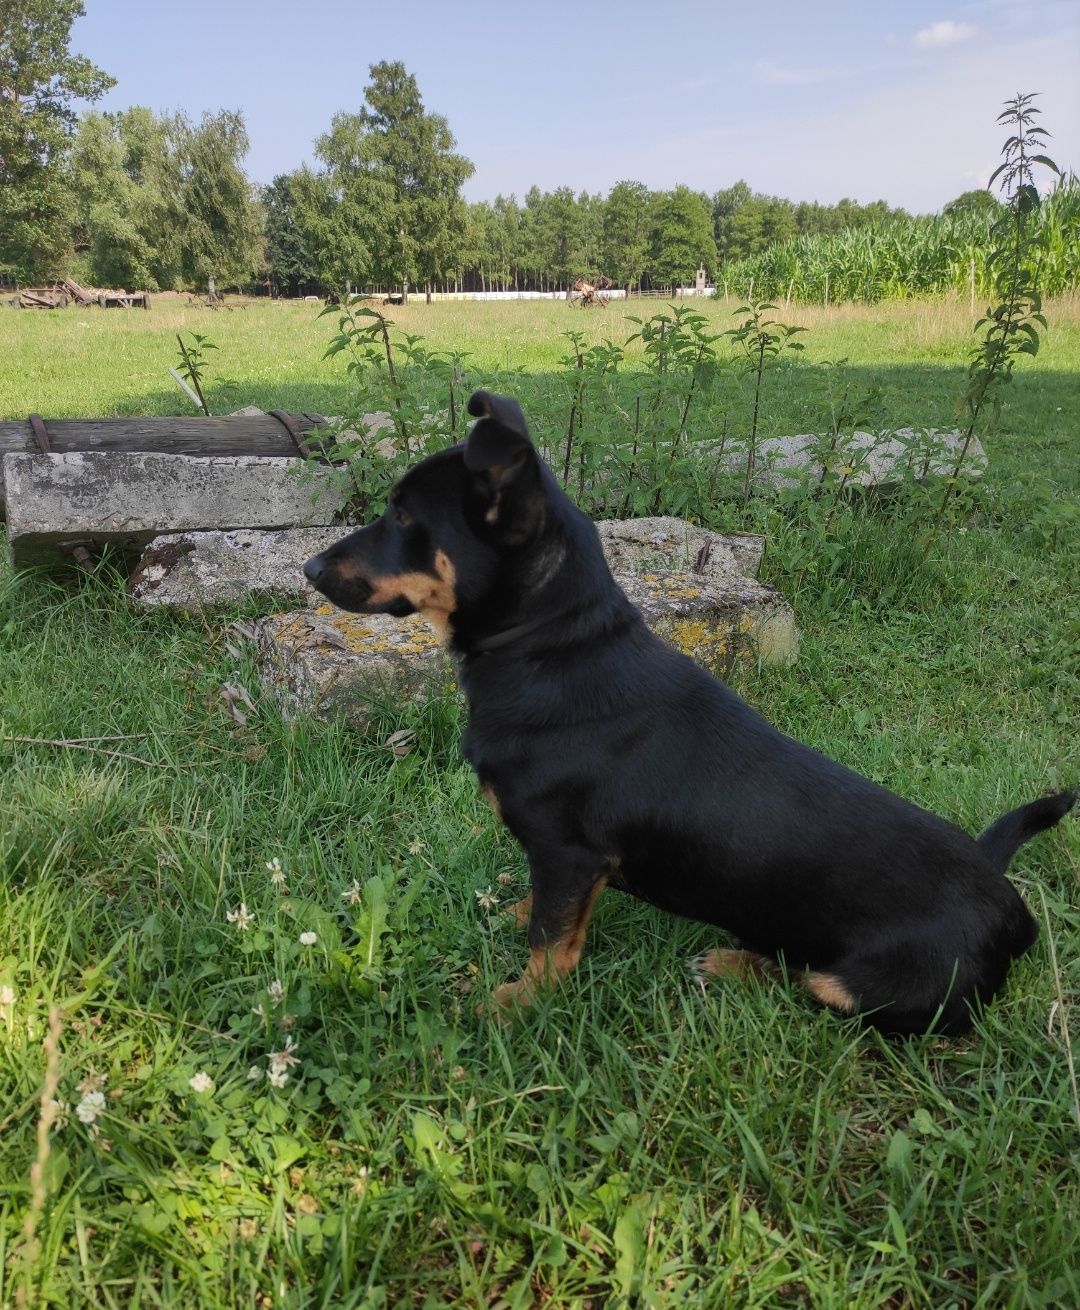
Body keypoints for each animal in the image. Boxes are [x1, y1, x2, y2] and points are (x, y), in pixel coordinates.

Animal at [301, 387, 1069, 1032]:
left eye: (404, 516)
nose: (307, 569)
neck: (550, 645)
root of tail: (1011, 907)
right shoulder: (580, 864)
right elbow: (557, 917)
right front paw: (515, 918)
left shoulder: (566, 851)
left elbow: (554, 942)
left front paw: (516, 1000)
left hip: (875, 989)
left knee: (812, 982)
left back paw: (733, 964)